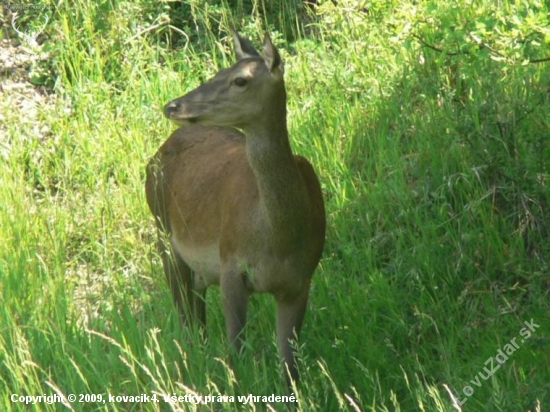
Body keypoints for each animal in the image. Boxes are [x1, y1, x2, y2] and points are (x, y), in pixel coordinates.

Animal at [147, 29, 328, 386]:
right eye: (219, 71)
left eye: (240, 80)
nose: (172, 106)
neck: (277, 237)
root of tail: (158, 153)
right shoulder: (230, 263)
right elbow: (236, 353)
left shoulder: (300, 281)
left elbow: (290, 368)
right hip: (162, 235)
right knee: (185, 318)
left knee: (196, 315)